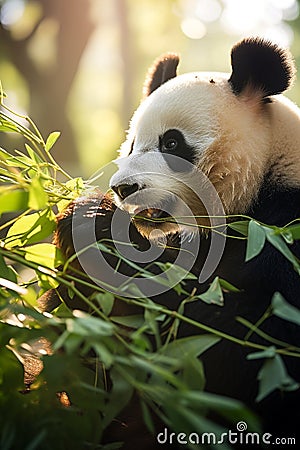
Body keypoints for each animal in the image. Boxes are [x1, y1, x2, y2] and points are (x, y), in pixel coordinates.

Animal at [40, 38, 300, 446]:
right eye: (132, 145)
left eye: (173, 142)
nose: (122, 188)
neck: (264, 178)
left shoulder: (280, 242)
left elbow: (231, 350)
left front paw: (98, 226)